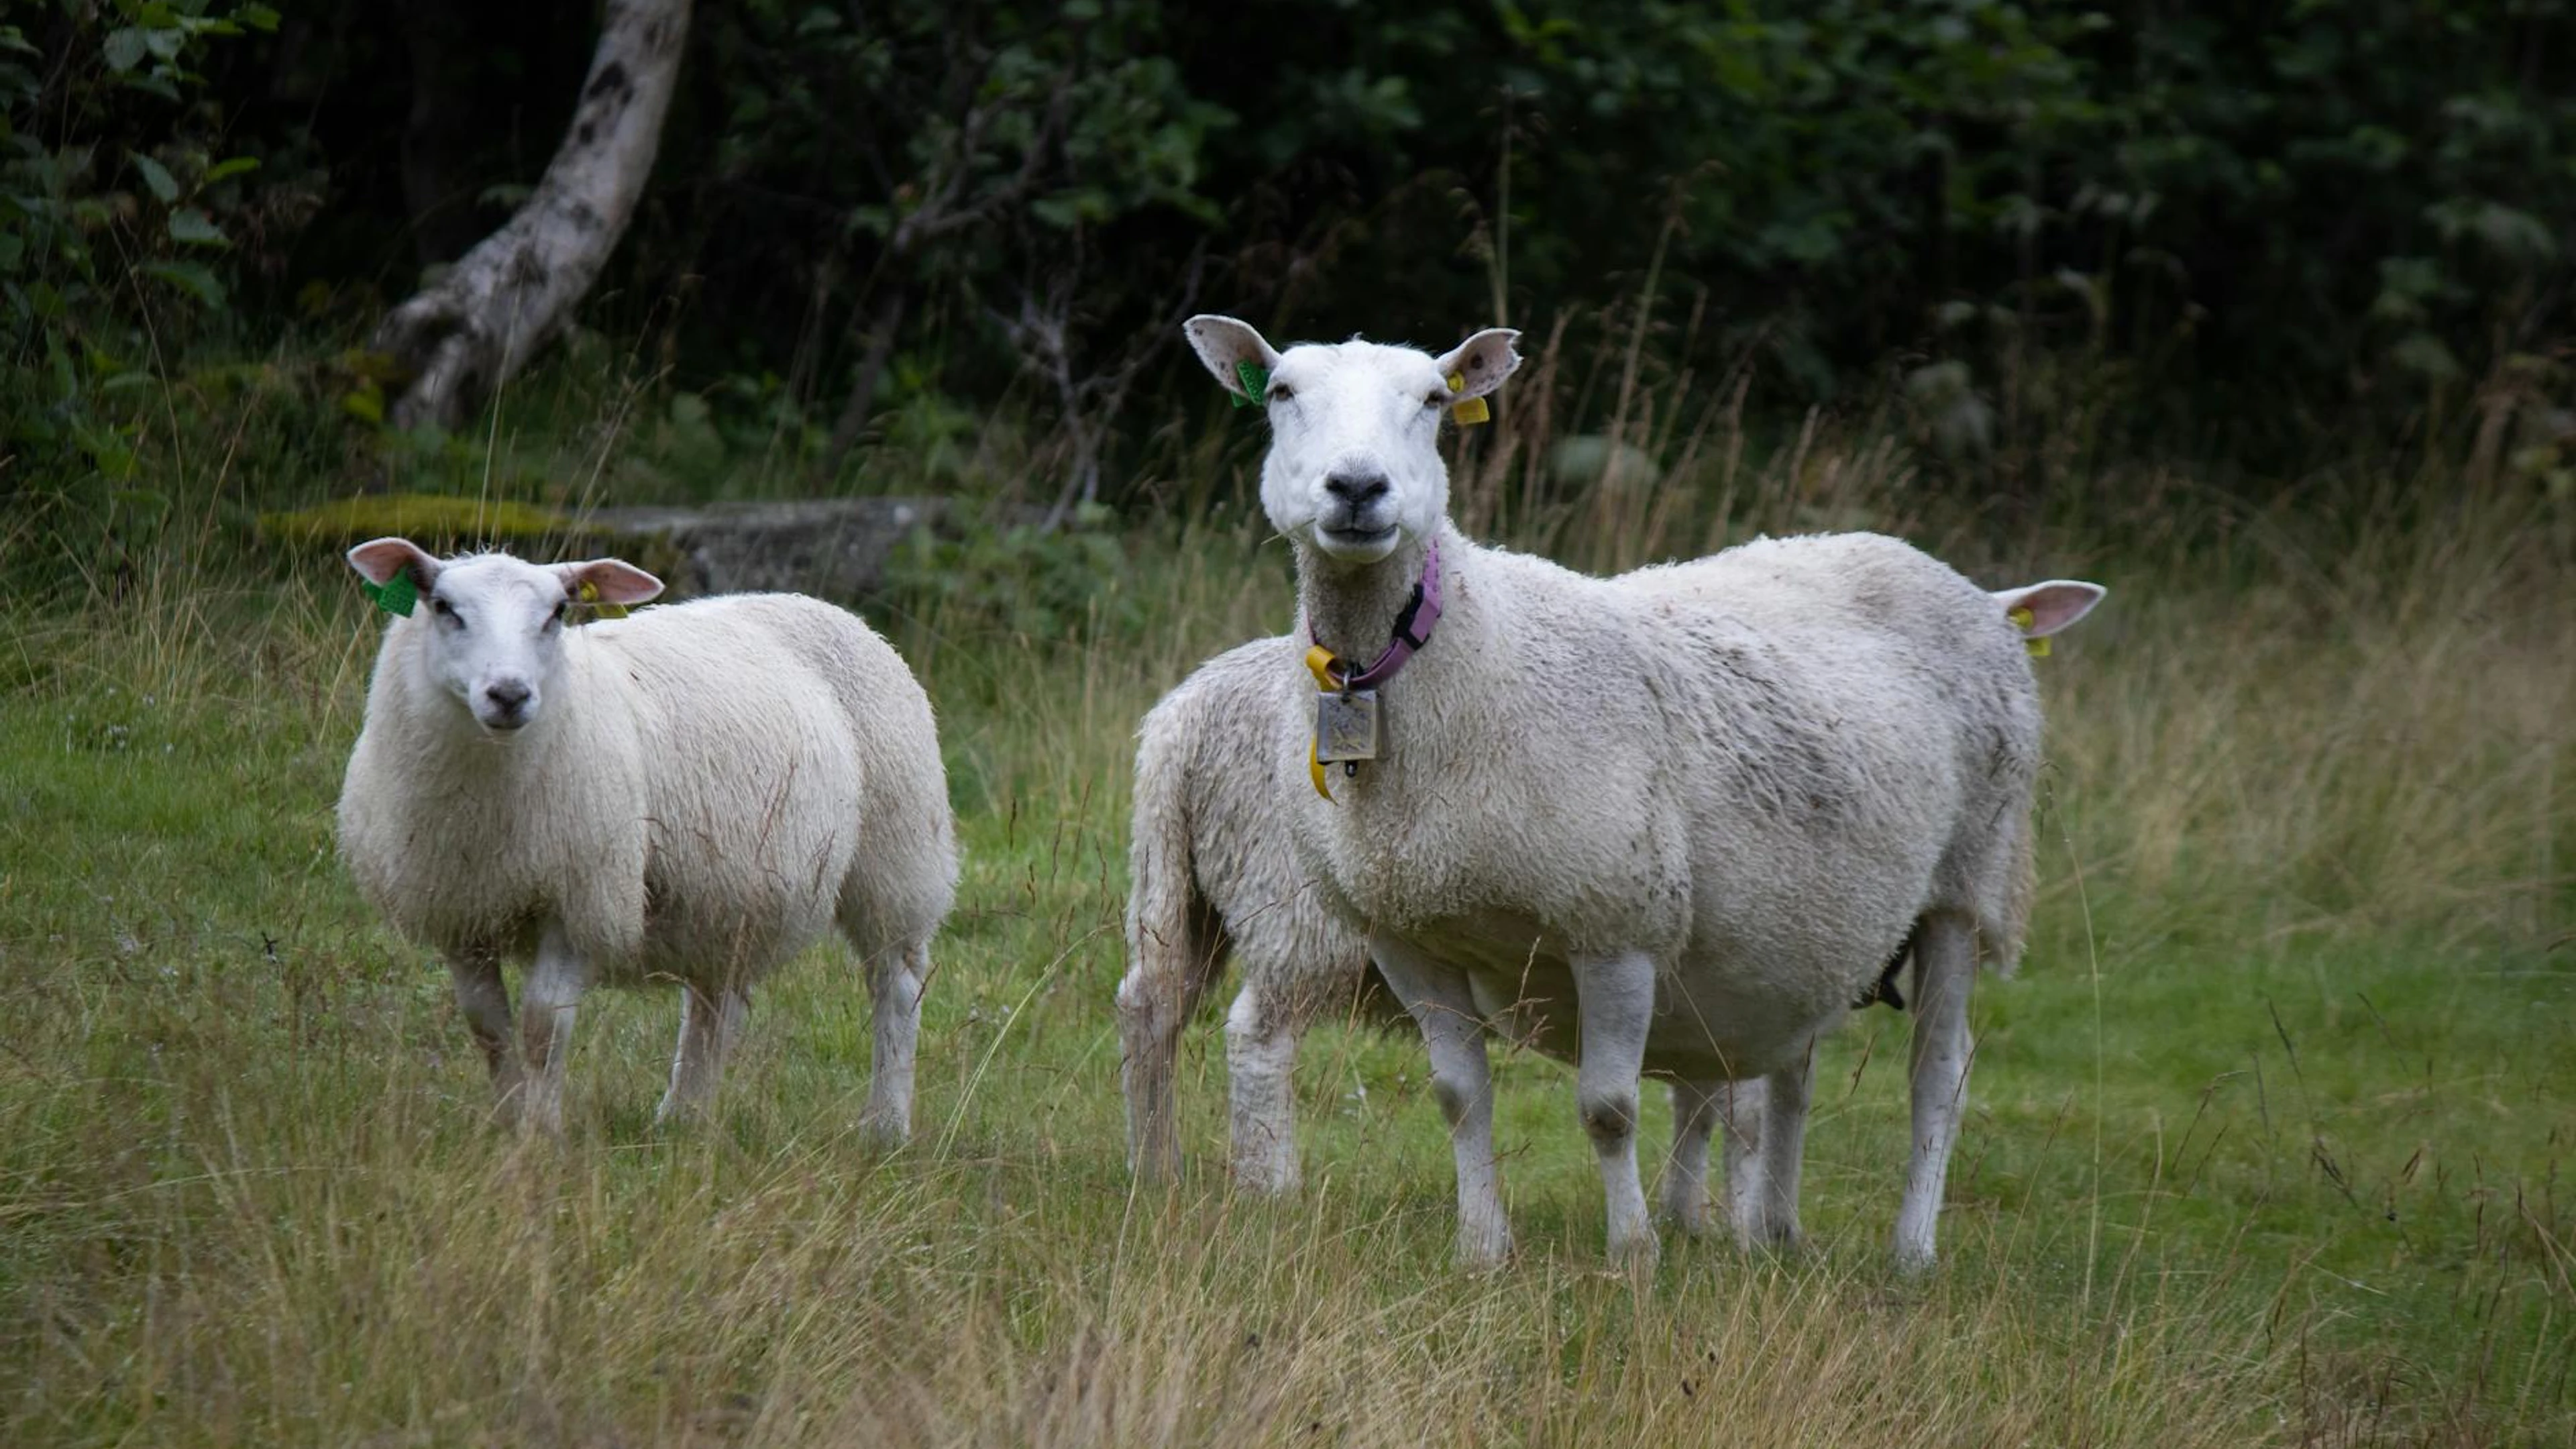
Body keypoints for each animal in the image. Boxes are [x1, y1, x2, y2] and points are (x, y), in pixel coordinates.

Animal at [335, 538, 958, 1139]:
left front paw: (542, 1135)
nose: (509, 695)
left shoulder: (584, 900)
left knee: (897, 986)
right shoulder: (459, 913)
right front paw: (508, 1125)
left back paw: (885, 1125)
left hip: (898, 853)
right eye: (444, 607)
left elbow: (543, 1027)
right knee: (715, 1004)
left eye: (558, 613)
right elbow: (489, 1028)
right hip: (728, 891)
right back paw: (683, 1117)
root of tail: (814, 602)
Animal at [1116, 635, 1398, 1195]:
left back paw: (1156, 1168)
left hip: (1179, 887)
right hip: (1298, 908)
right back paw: (1274, 1187)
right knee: (1259, 1036)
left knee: (1150, 1006)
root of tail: (1181, 718)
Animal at [1181, 316, 2105, 1268]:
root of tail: (1937, 571)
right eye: (1282, 392)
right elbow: (1459, 1097)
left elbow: (1609, 1109)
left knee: (1938, 1072)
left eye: (1435, 400)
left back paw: (1911, 1249)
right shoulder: (1409, 934)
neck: (1449, 647)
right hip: (1814, 925)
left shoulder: (1616, 919)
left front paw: (1632, 1256)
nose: (1359, 488)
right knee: (1796, 1075)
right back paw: (1776, 1232)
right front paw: (1483, 1251)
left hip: (1969, 879)